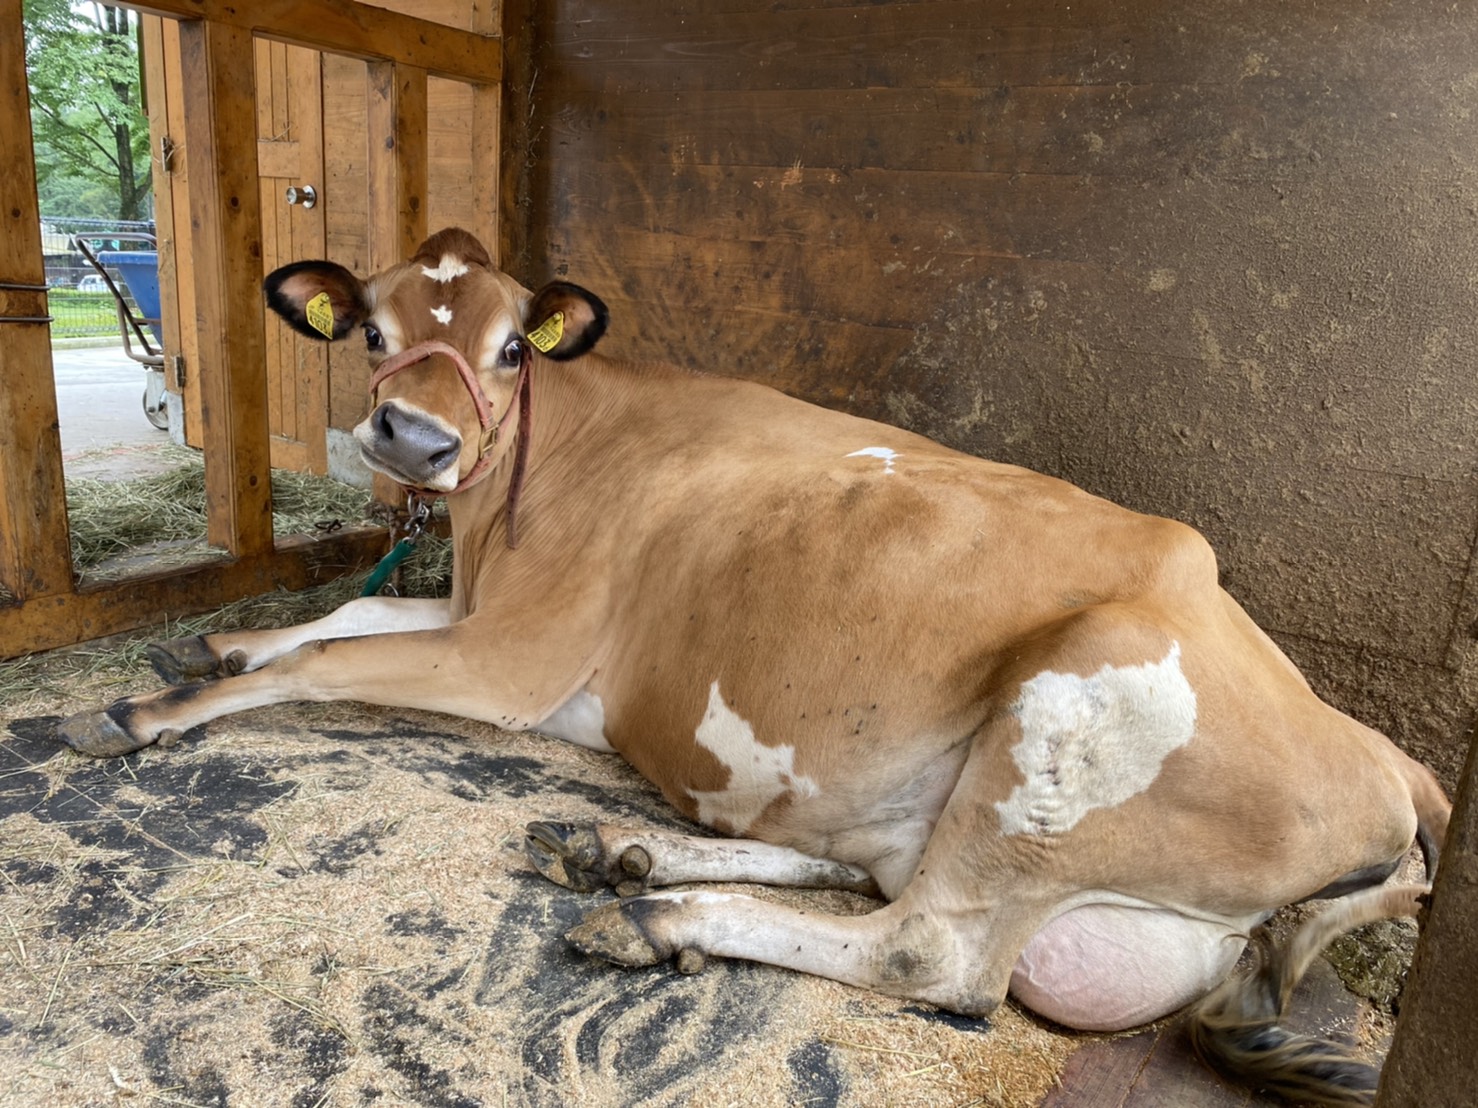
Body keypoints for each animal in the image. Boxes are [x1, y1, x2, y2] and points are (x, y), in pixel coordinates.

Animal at [57, 228, 1449, 1104]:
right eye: (374, 329)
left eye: (512, 346)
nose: (412, 437)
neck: (507, 508)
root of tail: (1385, 757)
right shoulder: (485, 622)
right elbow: (345, 617)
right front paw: (227, 633)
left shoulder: (512, 654)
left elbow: (323, 657)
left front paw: (153, 706)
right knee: (866, 868)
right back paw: (618, 851)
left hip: (1062, 723)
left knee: (926, 951)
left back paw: (655, 910)